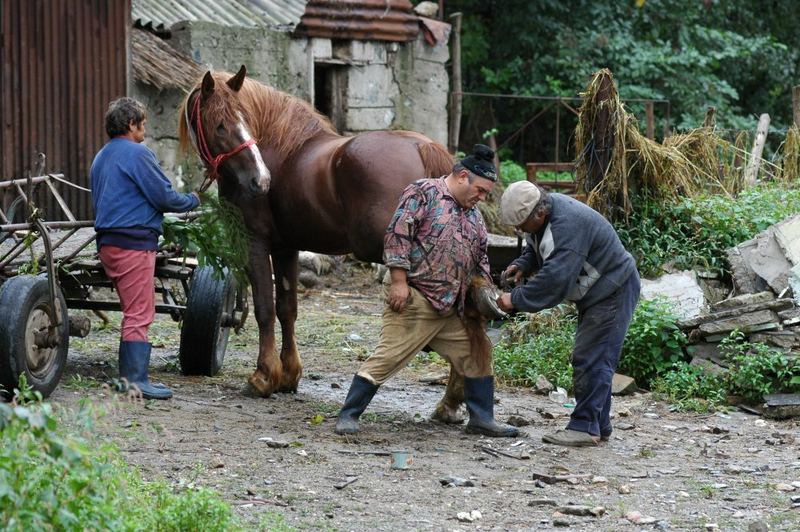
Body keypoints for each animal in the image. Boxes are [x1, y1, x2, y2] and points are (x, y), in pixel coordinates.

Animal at [178, 66, 466, 414]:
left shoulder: (256, 242)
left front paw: (264, 376)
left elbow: (264, 308)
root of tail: (422, 147)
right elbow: (287, 308)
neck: (279, 147)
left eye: (244, 118)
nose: (260, 181)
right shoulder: (286, 248)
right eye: (220, 125)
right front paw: (288, 375)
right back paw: (452, 403)